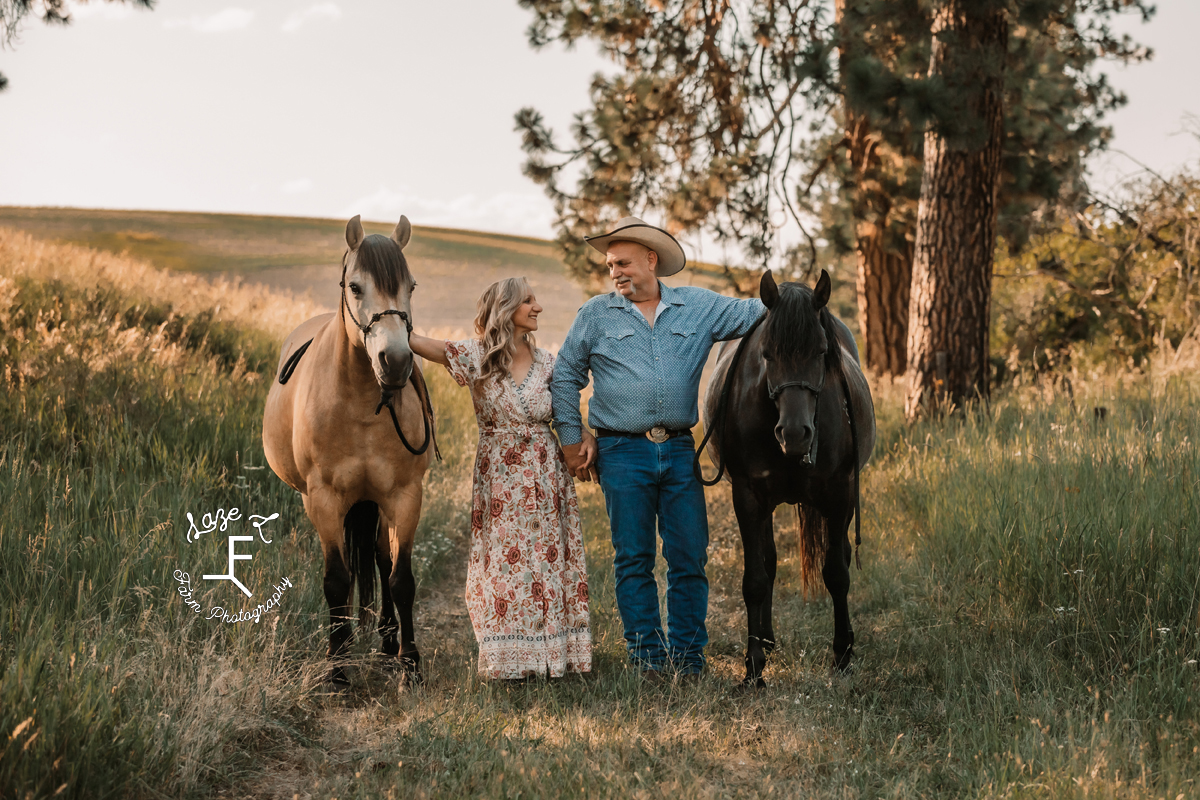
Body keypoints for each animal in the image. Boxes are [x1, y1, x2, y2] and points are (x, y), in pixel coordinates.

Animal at [260, 214, 439, 690]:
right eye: (356, 287)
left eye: (411, 286)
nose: (396, 362)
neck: (360, 399)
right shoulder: (323, 500)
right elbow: (337, 581)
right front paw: (337, 667)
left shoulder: (405, 496)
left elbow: (400, 578)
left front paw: (409, 661)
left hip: (377, 503)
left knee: (380, 557)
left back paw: (388, 637)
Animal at [700, 268, 878, 690]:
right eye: (767, 353)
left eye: (821, 351)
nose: (795, 434)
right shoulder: (748, 498)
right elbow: (755, 578)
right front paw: (753, 667)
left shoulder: (840, 495)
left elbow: (837, 573)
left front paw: (842, 654)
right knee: (768, 561)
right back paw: (765, 639)